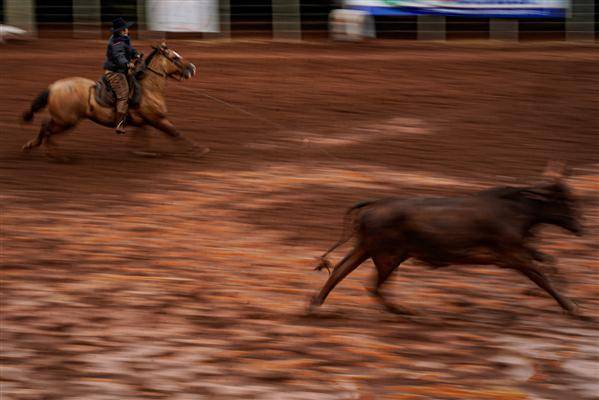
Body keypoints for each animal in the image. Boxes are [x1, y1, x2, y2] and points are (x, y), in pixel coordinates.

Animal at [20, 41, 209, 159]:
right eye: (175, 57)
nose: (192, 68)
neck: (148, 88)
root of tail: (53, 87)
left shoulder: (143, 122)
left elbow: (142, 136)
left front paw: (141, 152)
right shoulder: (157, 119)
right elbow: (176, 133)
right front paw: (199, 150)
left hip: (63, 119)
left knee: (45, 125)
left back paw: (32, 145)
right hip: (67, 121)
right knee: (48, 130)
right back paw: (56, 155)